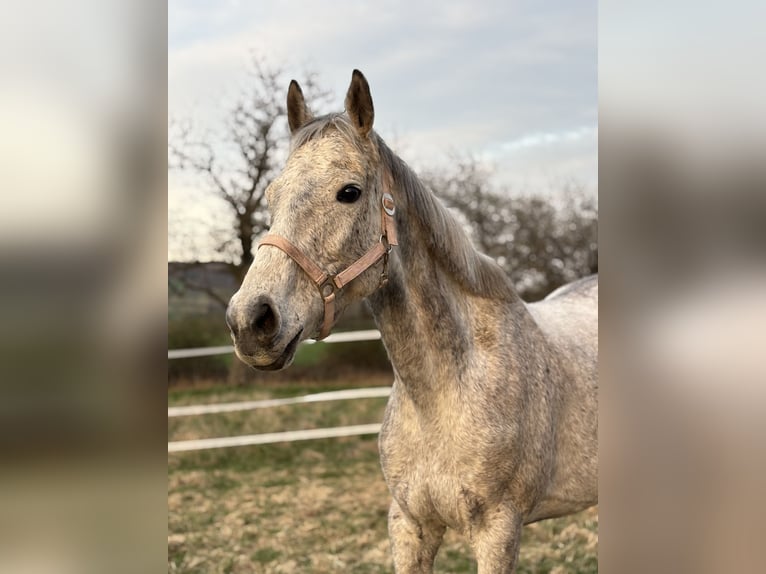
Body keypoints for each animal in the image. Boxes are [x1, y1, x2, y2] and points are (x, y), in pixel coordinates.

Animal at [226, 70, 598, 573]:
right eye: (272, 196)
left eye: (349, 192)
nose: (250, 320)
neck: (444, 391)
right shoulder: (409, 525)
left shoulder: (499, 530)